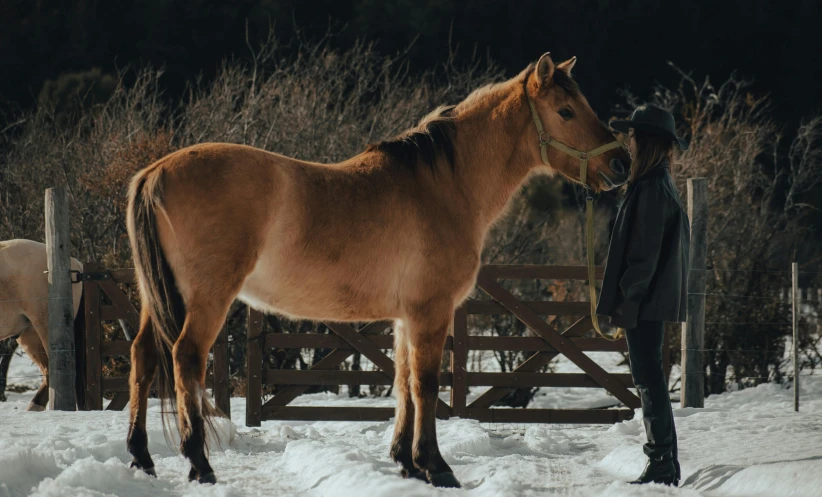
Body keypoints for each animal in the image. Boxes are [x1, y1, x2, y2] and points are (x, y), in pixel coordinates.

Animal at [125, 53, 632, 484]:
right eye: (566, 111)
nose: (621, 163)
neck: (443, 186)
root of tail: (155, 172)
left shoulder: (406, 317)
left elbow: (403, 380)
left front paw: (405, 461)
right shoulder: (431, 311)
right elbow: (426, 383)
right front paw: (435, 466)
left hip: (156, 297)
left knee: (144, 357)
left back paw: (142, 457)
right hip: (208, 298)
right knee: (186, 358)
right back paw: (199, 463)